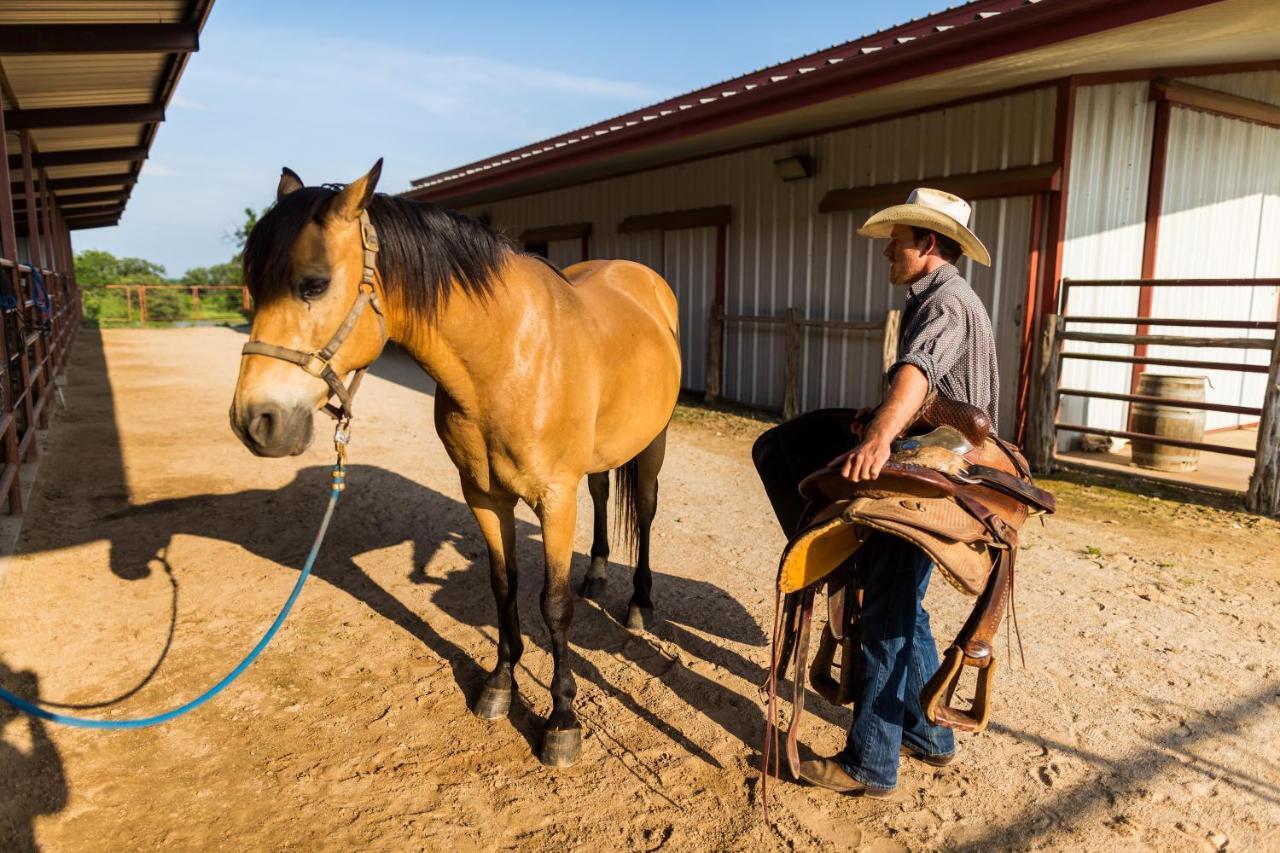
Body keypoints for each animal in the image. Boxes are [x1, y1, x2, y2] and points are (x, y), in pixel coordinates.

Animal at [234, 159, 686, 763]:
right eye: (253, 287)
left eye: (314, 283)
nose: (254, 421)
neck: (507, 357)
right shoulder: (483, 494)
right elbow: (502, 585)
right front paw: (499, 685)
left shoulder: (553, 499)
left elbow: (554, 605)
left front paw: (562, 721)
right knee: (600, 495)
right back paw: (596, 575)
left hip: (653, 444)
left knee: (647, 511)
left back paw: (639, 603)